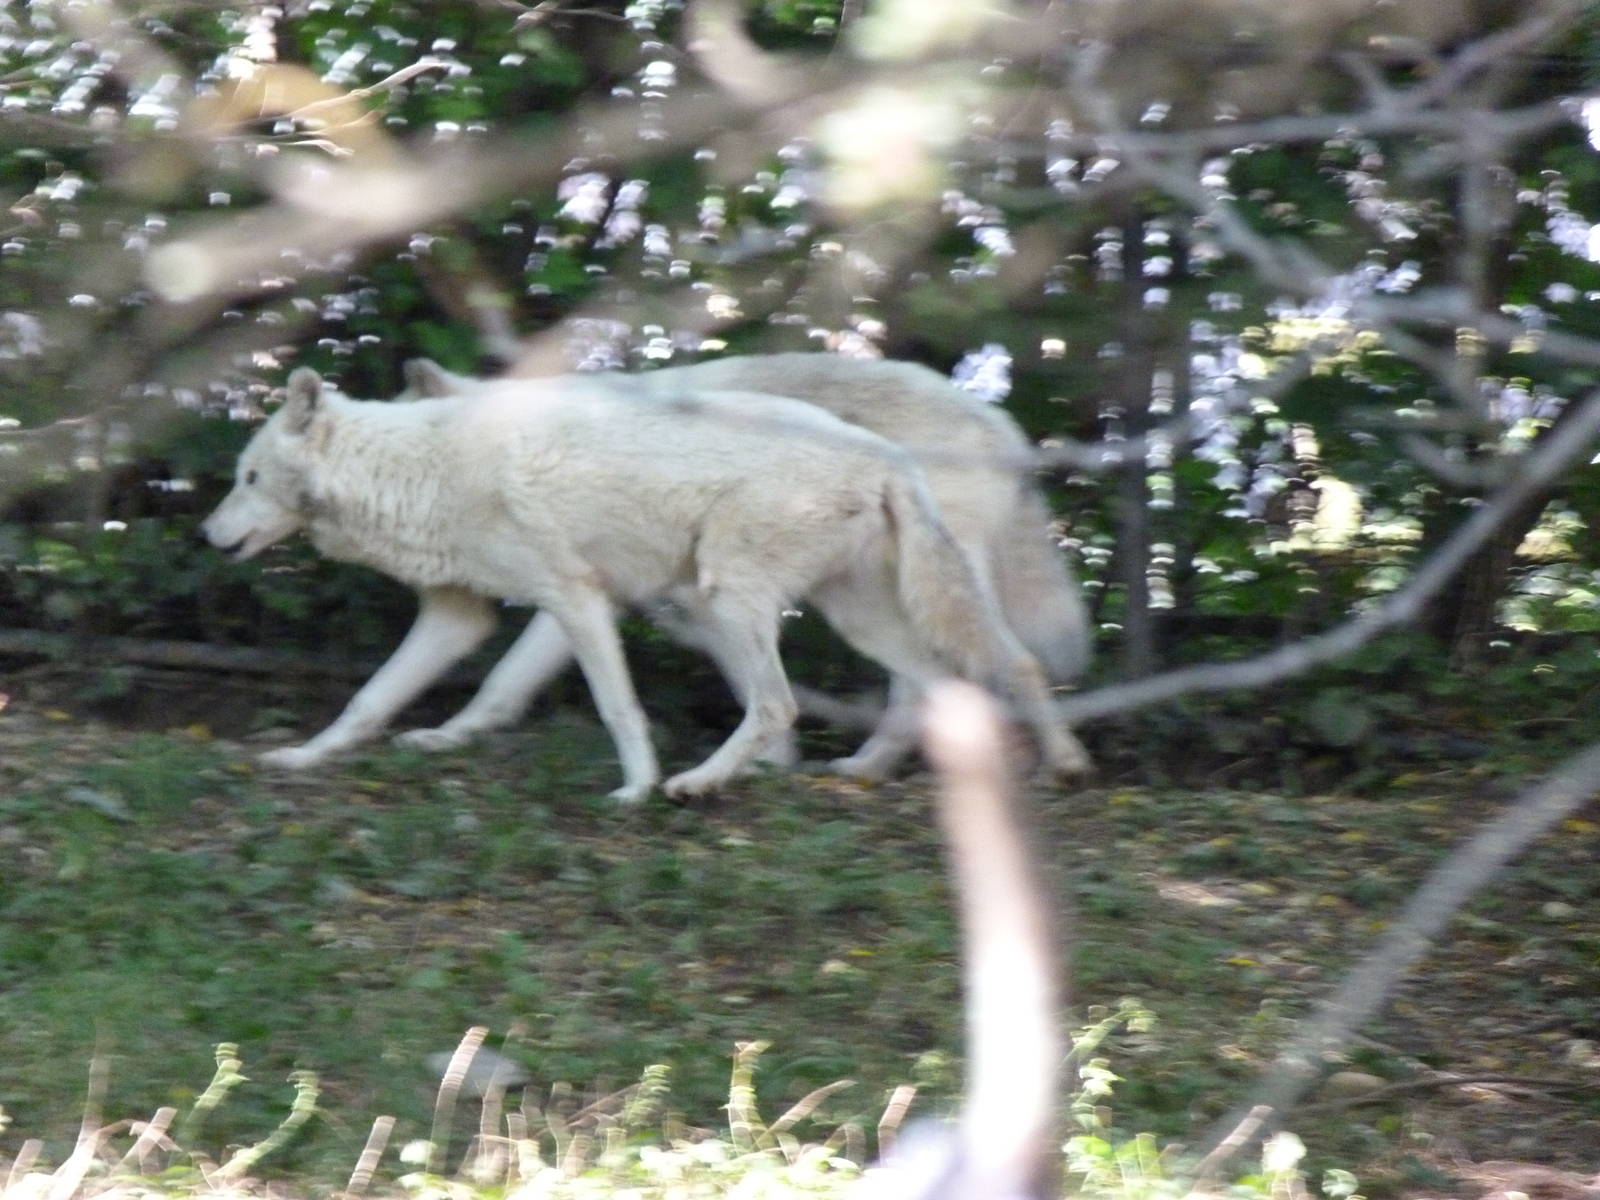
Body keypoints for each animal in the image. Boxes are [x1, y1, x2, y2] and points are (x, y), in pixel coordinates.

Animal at [202, 367, 1089, 801]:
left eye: (246, 477)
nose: (207, 535)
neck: (416, 467)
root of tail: (888, 454)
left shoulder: (575, 599)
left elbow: (616, 707)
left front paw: (636, 788)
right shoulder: (460, 616)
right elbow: (370, 700)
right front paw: (302, 758)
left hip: (733, 595)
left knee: (784, 704)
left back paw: (698, 785)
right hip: (854, 618)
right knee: (942, 685)